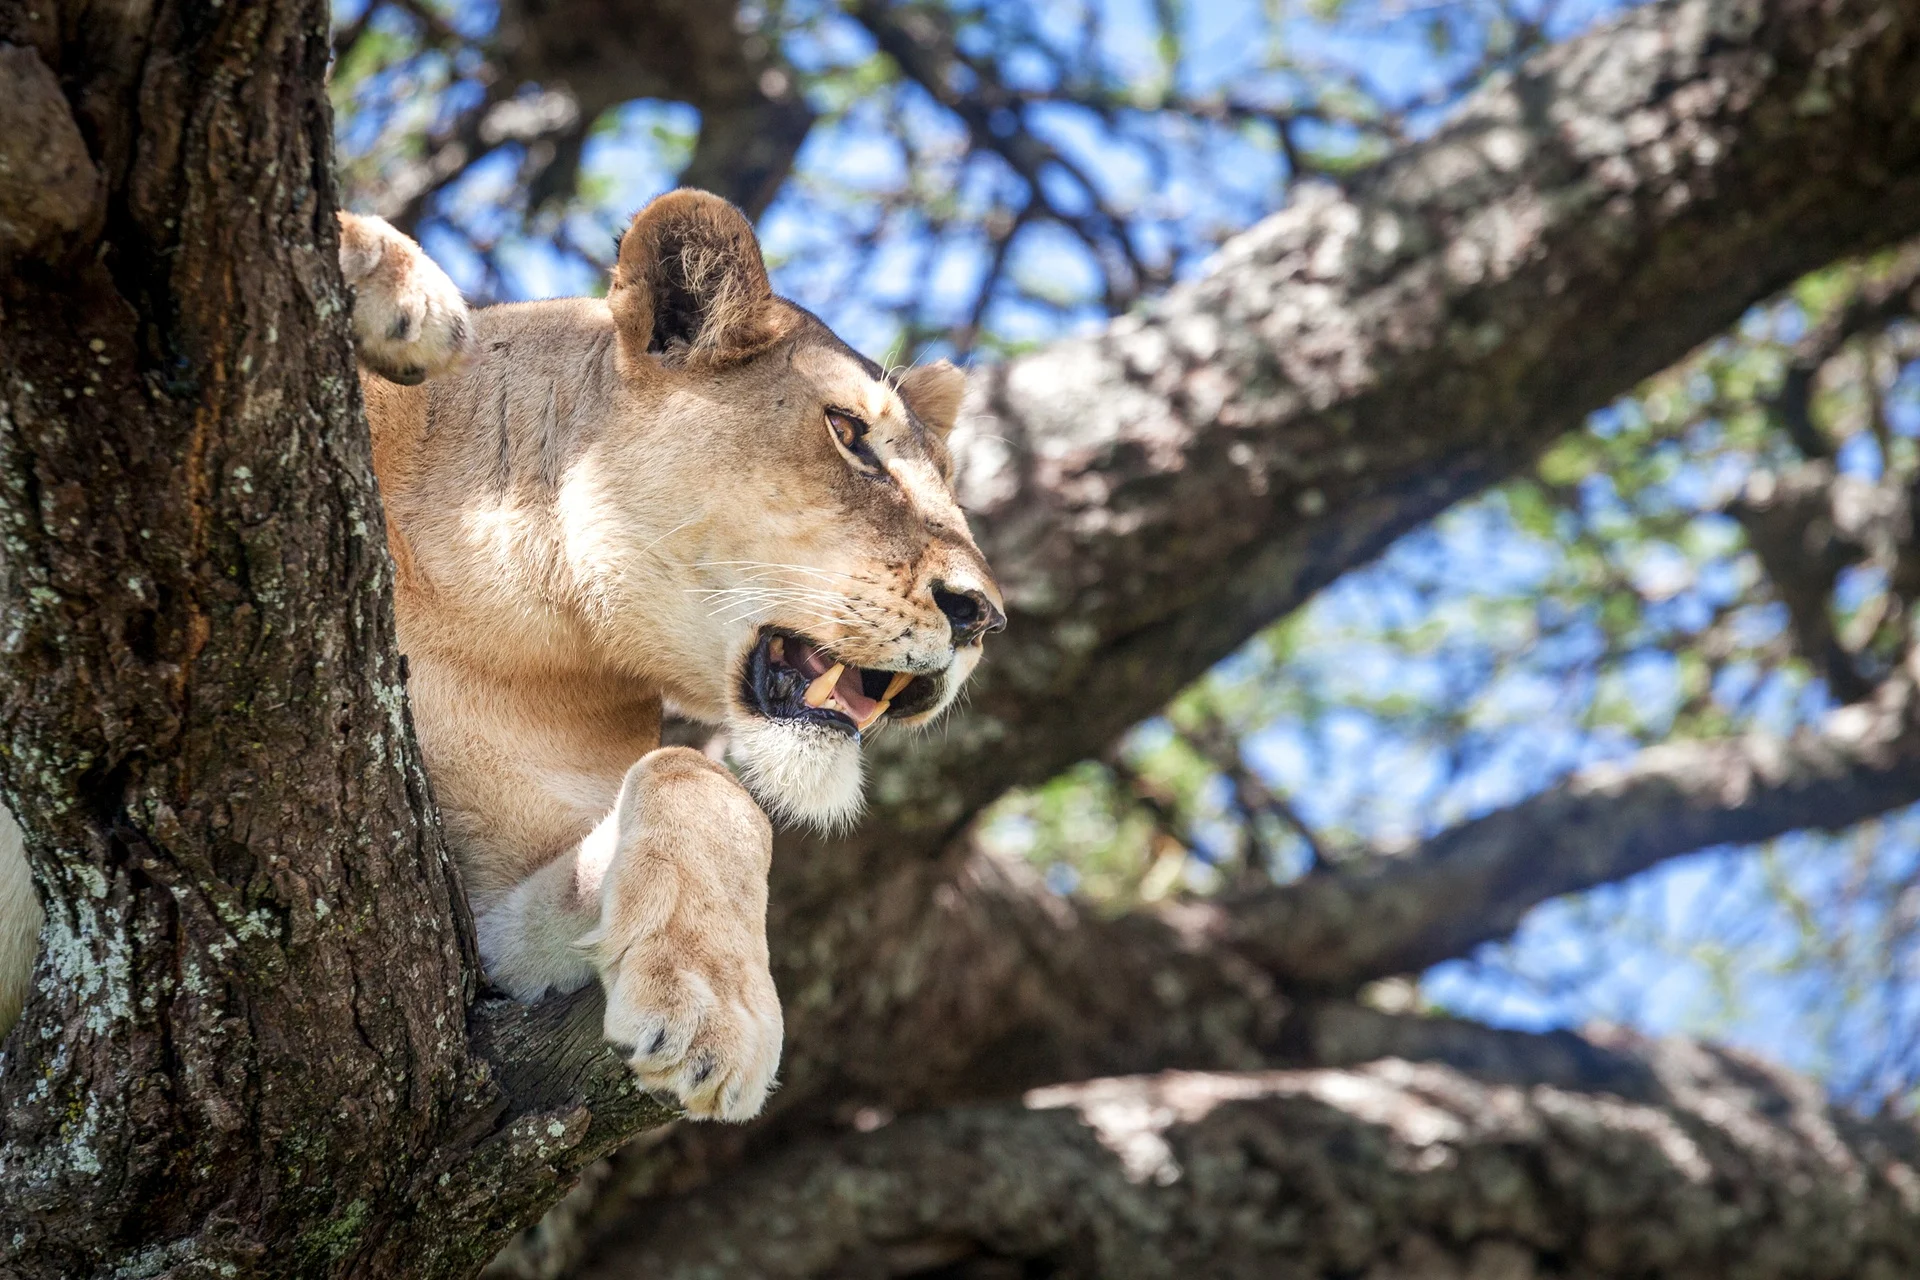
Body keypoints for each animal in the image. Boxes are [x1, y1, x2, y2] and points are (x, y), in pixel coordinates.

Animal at [0, 191, 1003, 1123]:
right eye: (848, 434)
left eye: (948, 483)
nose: (984, 616)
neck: (499, 581)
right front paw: (392, 285)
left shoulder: (481, 948)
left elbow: (704, 783)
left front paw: (712, 1010)